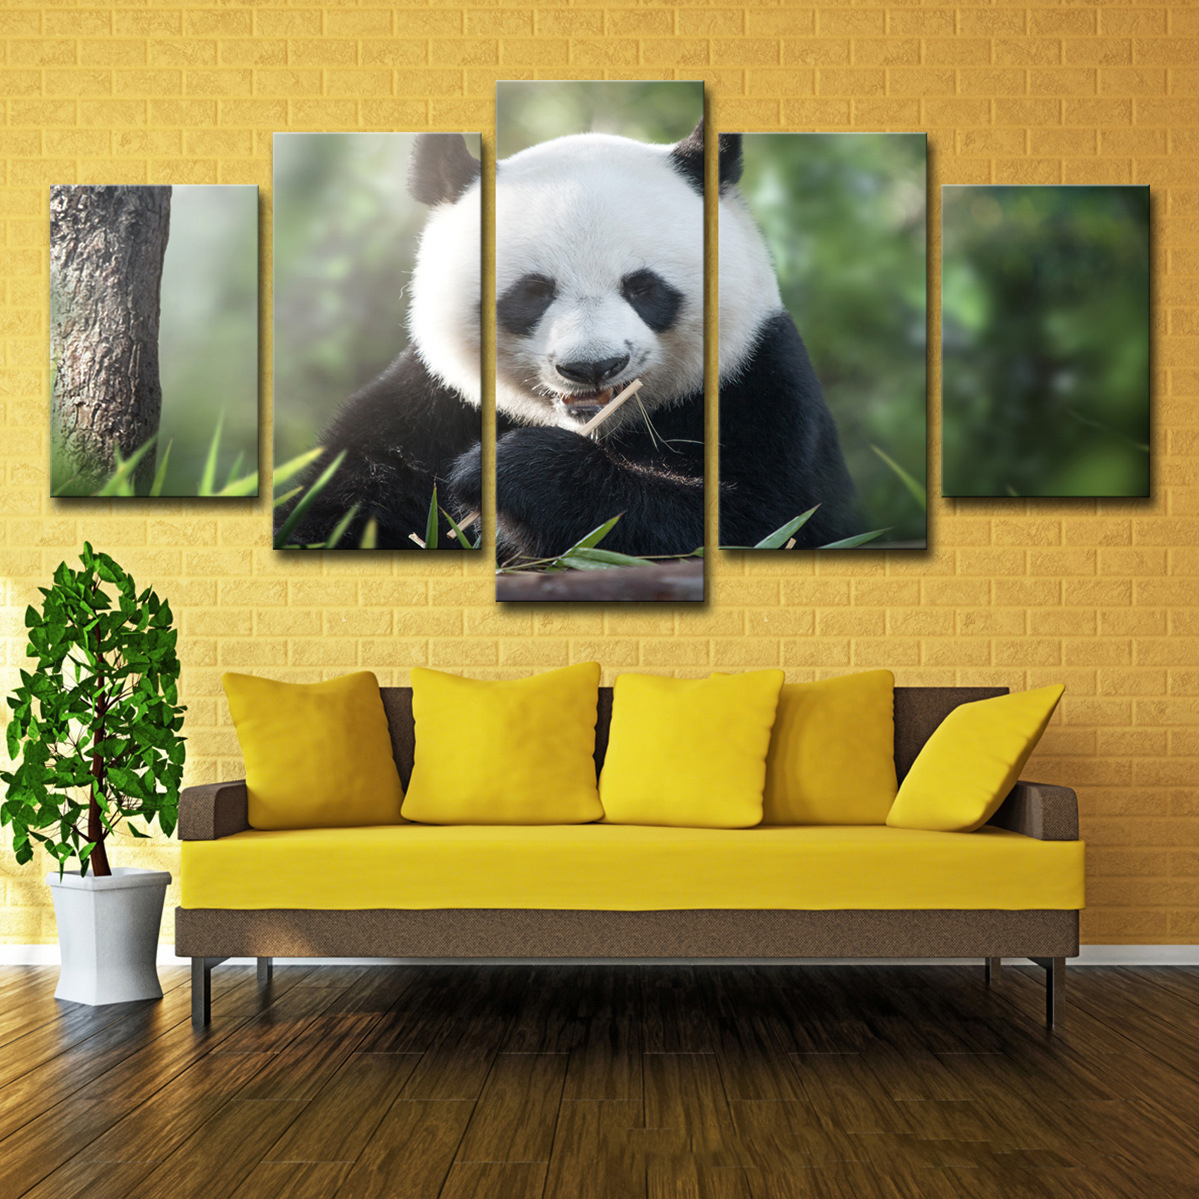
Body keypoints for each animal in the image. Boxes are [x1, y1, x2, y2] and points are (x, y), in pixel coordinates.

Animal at [278, 124, 858, 554]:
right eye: (532, 293)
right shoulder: (430, 407)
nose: (593, 366)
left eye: (643, 287)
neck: (596, 428)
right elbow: (334, 507)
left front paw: (509, 472)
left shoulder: (760, 386)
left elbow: (761, 521)